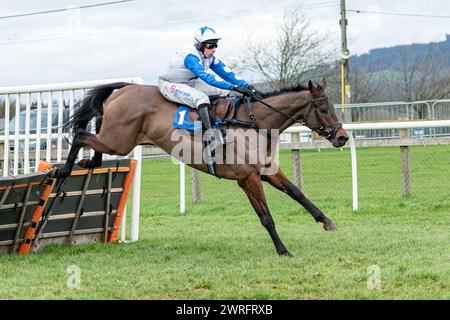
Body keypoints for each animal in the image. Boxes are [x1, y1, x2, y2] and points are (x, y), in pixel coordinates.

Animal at [56, 79, 350, 256]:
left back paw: (89, 162)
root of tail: (126, 88)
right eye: (324, 109)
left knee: (93, 136)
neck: (254, 123)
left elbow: (298, 193)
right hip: (119, 139)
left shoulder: (268, 170)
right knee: (81, 134)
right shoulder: (248, 178)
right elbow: (266, 217)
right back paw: (63, 172)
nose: (342, 137)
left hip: (117, 139)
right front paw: (283, 250)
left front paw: (327, 221)